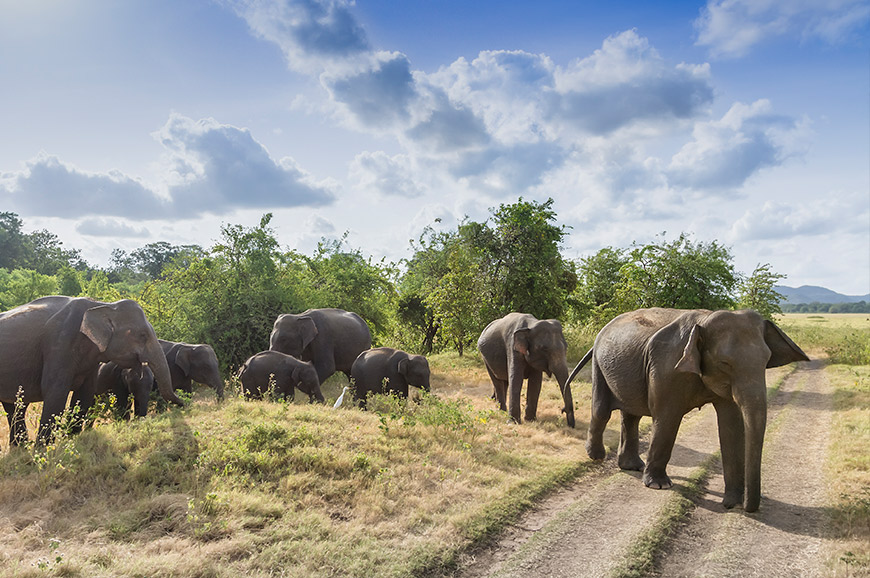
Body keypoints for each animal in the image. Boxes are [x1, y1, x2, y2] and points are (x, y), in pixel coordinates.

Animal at [0, 294, 184, 444]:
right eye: (143, 335)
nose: (183, 404)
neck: (102, 305)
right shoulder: (59, 344)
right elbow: (55, 392)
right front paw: (44, 452)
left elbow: (84, 395)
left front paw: (71, 440)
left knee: (15, 407)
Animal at [568, 308, 808, 510]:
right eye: (725, 363)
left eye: (767, 361)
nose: (732, 505)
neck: (704, 321)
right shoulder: (667, 368)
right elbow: (667, 418)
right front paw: (659, 486)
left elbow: (731, 426)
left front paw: (734, 499)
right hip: (599, 365)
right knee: (602, 411)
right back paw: (597, 457)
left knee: (631, 416)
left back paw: (632, 466)